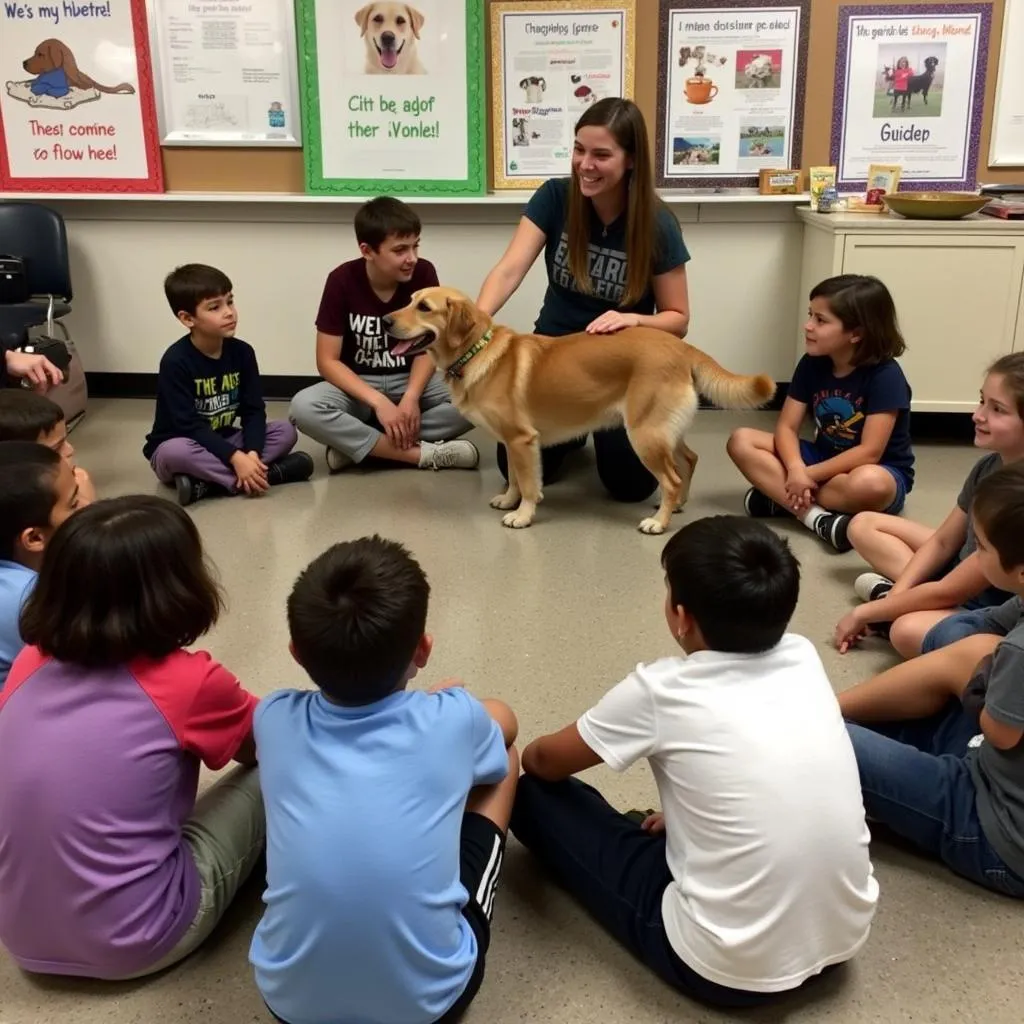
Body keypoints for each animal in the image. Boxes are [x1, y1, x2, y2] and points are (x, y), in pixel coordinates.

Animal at [385, 284, 774, 532]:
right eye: (410, 300)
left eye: (424, 307)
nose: (387, 320)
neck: (475, 351)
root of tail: (681, 347)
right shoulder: (511, 443)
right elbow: (515, 478)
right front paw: (509, 501)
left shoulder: (522, 440)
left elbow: (529, 484)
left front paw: (523, 515)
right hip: (663, 430)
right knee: (689, 461)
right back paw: (677, 504)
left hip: (644, 434)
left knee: (672, 476)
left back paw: (659, 522)